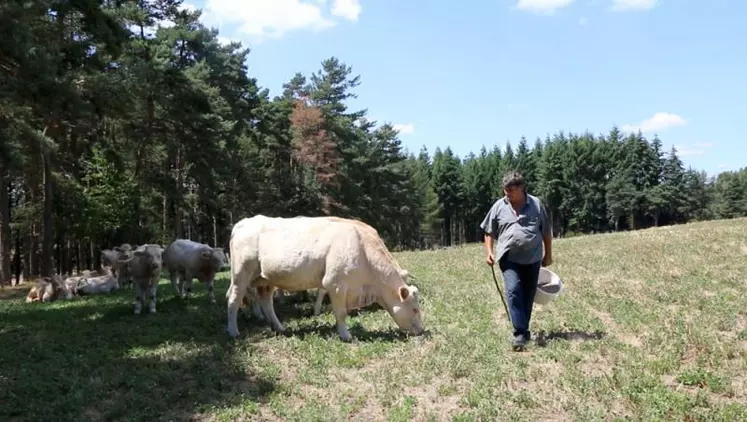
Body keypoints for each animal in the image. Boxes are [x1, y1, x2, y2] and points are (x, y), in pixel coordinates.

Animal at [226, 216, 426, 342]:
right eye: (415, 309)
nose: (422, 330)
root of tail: (243, 223)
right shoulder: (335, 284)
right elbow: (341, 313)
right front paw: (346, 336)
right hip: (241, 274)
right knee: (234, 299)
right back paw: (233, 331)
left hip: (265, 280)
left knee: (266, 302)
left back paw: (279, 328)